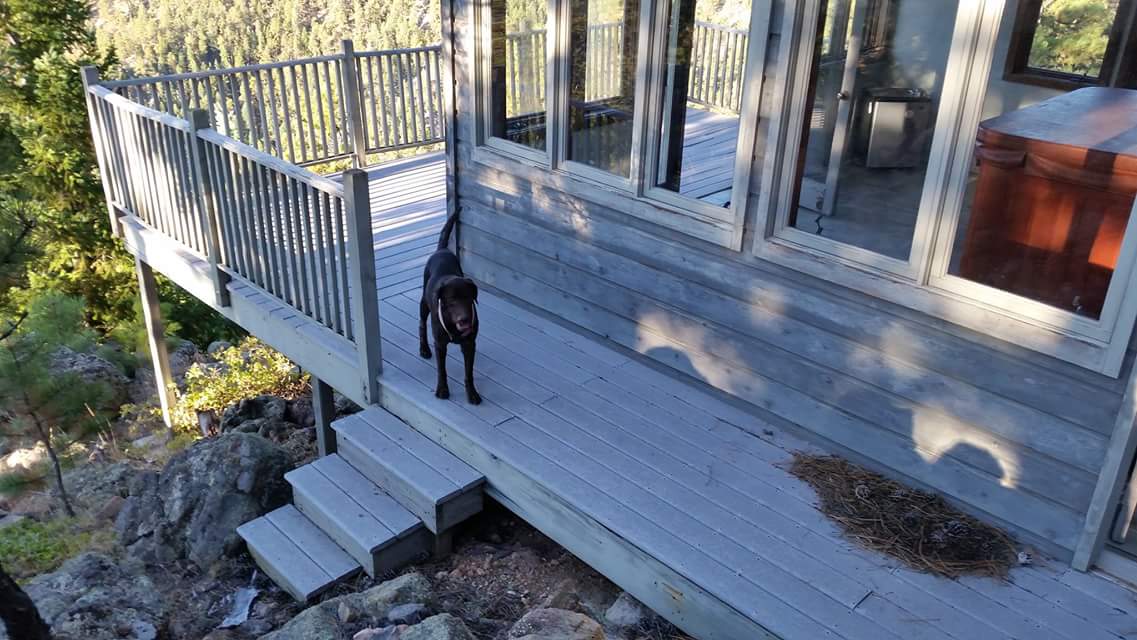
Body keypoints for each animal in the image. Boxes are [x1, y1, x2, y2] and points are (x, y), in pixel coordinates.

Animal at [422, 214, 484, 404]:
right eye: (451, 301)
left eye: (468, 298)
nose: (464, 319)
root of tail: (442, 250)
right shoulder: (440, 344)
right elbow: (442, 370)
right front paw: (442, 390)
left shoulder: (469, 344)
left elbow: (468, 373)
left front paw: (472, 393)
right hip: (424, 303)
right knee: (421, 324)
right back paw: (423, 349)